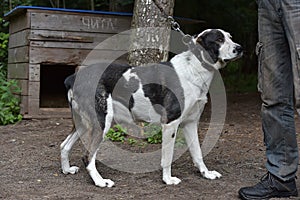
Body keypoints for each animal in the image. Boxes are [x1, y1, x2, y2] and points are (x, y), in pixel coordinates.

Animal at [61, 28, 244, 187]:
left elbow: (197, 153)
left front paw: (206, 174)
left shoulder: (190, 123)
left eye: (230, 37)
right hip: (102, 121)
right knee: (87, 156)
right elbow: (167, 157)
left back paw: (67, 170)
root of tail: (73, 77)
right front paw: (168, 180)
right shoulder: (170, 123)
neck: (195, 68)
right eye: (219, 40)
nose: (240, 48)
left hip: (84, 123)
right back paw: (100, 182)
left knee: (64, 146)